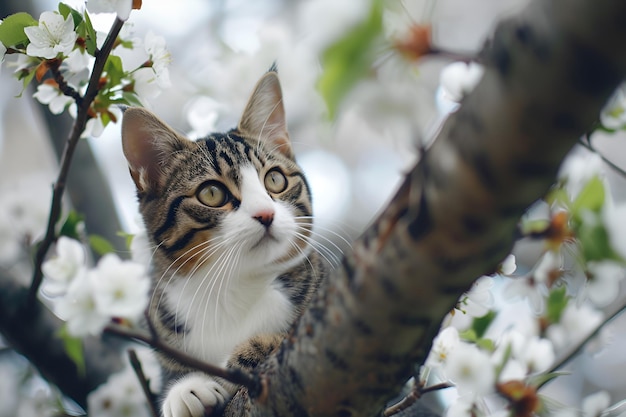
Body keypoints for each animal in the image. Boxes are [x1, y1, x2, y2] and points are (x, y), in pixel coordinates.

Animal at [122, 69, 326, 416]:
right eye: (211, 193)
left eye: (275, 179)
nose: (266, 214)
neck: (231, 287)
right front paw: (185, 390)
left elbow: (279, 340)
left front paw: (235, 364)